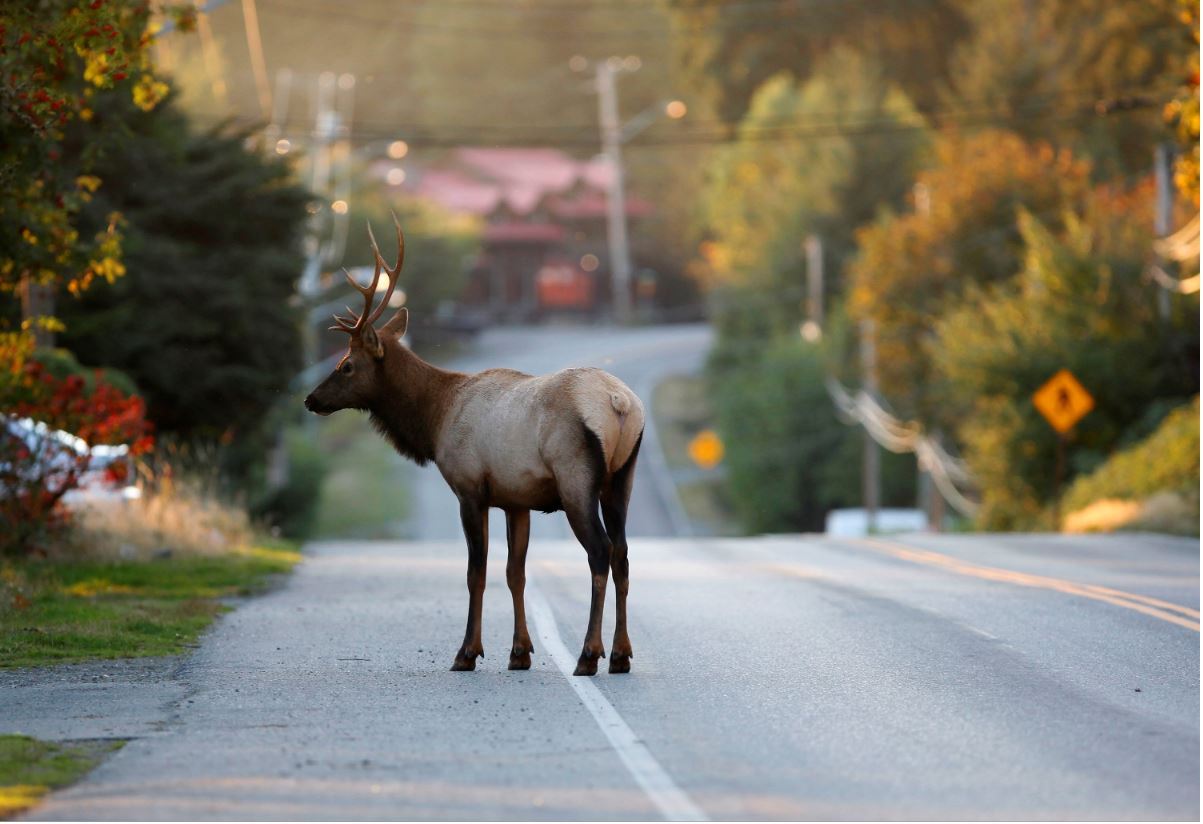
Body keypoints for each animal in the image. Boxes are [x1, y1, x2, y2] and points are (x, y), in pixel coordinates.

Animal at [305, 216, 644, 673]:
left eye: (346, 365)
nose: (311, 399)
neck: (434, 419)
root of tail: (620, 403)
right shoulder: (517, 499)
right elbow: (515, 573)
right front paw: (519, 652)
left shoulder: (469, 488)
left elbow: (475, 573)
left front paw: (467, 651)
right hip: (621, 479)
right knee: (623, 553)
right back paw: (622, 654)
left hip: (577, 479)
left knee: (600, 552)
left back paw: (589, 654)